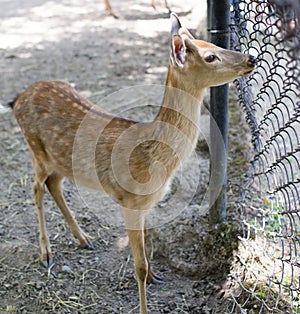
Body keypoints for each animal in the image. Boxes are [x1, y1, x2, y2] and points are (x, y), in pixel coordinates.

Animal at [8, 12, 256, 314]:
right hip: (36, 150)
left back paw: (84, 239)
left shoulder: (146, 204)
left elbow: (147, 251)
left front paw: (155, 276)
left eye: (214, 43)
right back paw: (46, 252)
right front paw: (144, 303)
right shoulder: (129, 201)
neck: (154, 159)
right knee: (36, 188)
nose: (251, 59)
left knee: (54, 185)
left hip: (58, 161)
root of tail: (17, 99)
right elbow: (139, 265)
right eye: (210, 56)